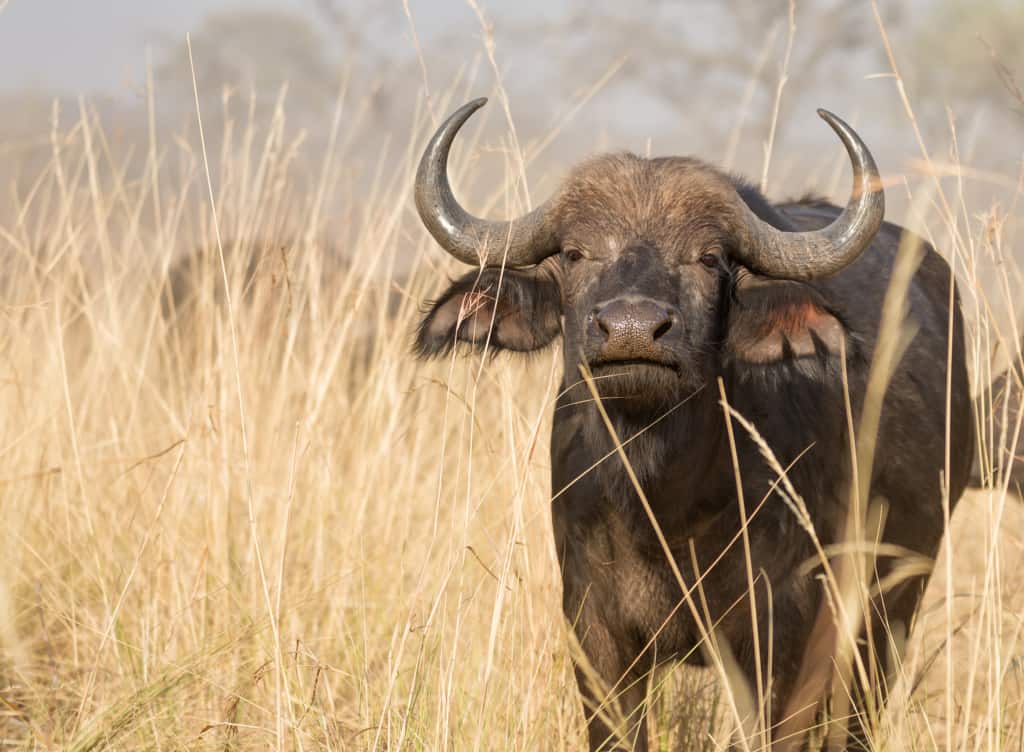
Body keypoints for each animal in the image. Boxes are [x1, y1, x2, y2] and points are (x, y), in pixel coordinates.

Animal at [411, 97, 970, 749]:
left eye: (708, 258)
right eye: (575, 254)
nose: (631, 329)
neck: (666, 509)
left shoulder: (785, 638)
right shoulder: (594, 635)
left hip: (890, 609)